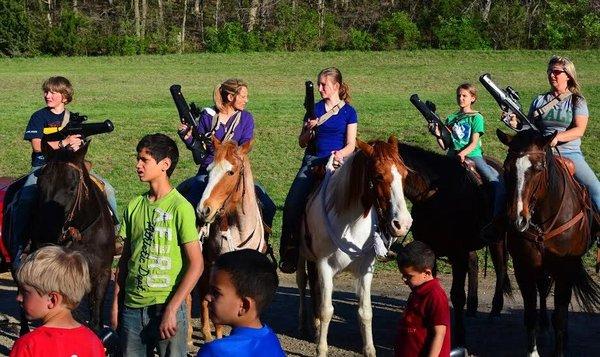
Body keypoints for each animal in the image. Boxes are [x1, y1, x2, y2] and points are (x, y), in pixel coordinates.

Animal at [298, 136, 414, 356]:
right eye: (378, 176)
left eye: (404, 175)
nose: (403, 224)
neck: (350, 223)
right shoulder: (324, 265)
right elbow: (327, 310)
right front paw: (321, 349)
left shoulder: (365, 269)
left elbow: (365, 312)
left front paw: (369, 349)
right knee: (303, 283)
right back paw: (306, 325)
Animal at [496, 129, 600, 356]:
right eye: (507, 167)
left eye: (538, 168)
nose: (517, 220)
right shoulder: (523, 268)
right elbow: (530, 314)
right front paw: (533, 350)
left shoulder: (566, 268)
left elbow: (560, 315)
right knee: (543, 289)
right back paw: (544, 326)